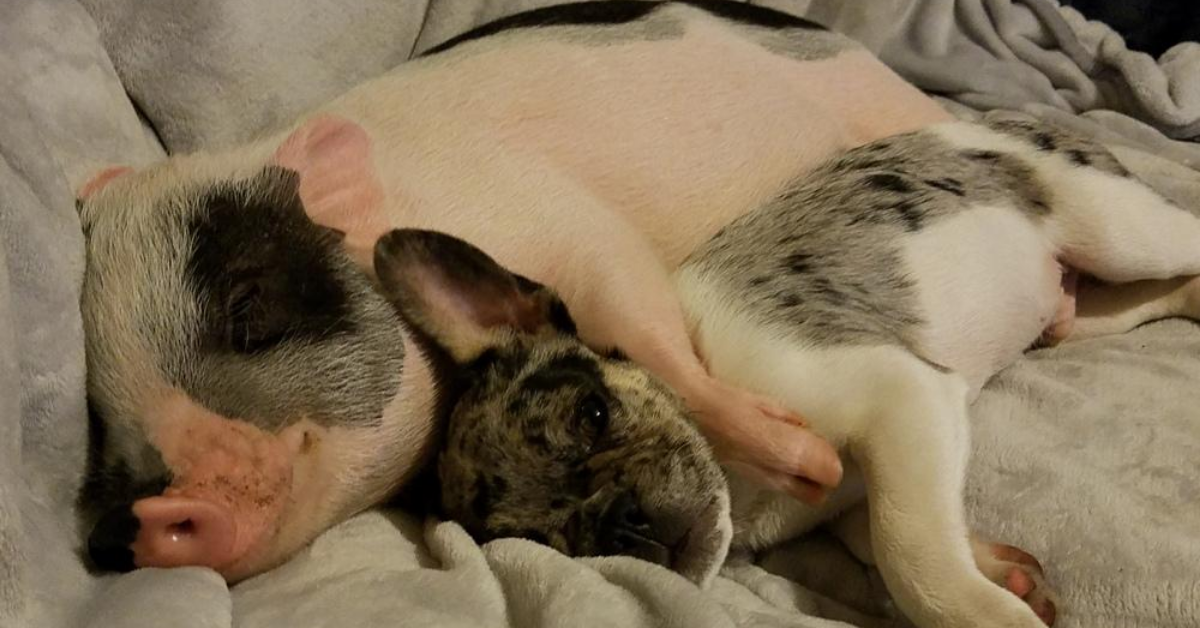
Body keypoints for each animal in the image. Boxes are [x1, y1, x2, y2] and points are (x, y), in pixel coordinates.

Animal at [79, 1, 950, 585]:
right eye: (101, 412)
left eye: (248, 310)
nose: (139, 524)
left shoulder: (577, 227)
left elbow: (651, 328)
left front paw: (814, 463)